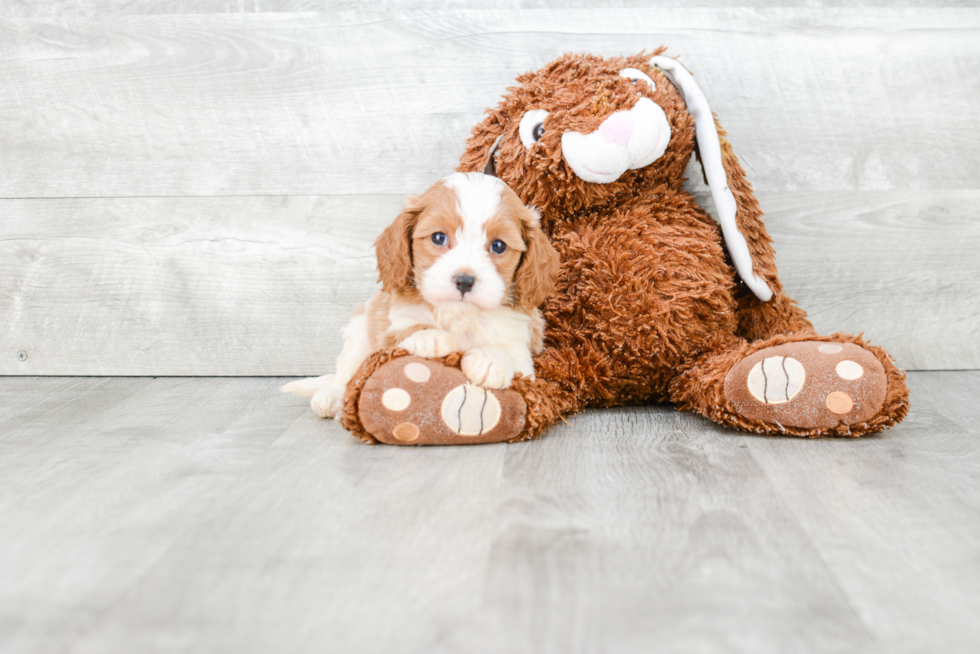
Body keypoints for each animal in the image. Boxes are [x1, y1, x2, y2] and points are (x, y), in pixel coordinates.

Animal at [282, 173, 560, 420]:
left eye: (499, 246)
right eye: (438, 237)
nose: (464, 281)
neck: (459, 313)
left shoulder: (521, 347)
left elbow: (509, 354)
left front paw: (491, 361)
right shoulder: (392, 327)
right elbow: (407, 330)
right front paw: (431, 337)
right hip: (361, 328)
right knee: (348, 372)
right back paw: (330, 397)